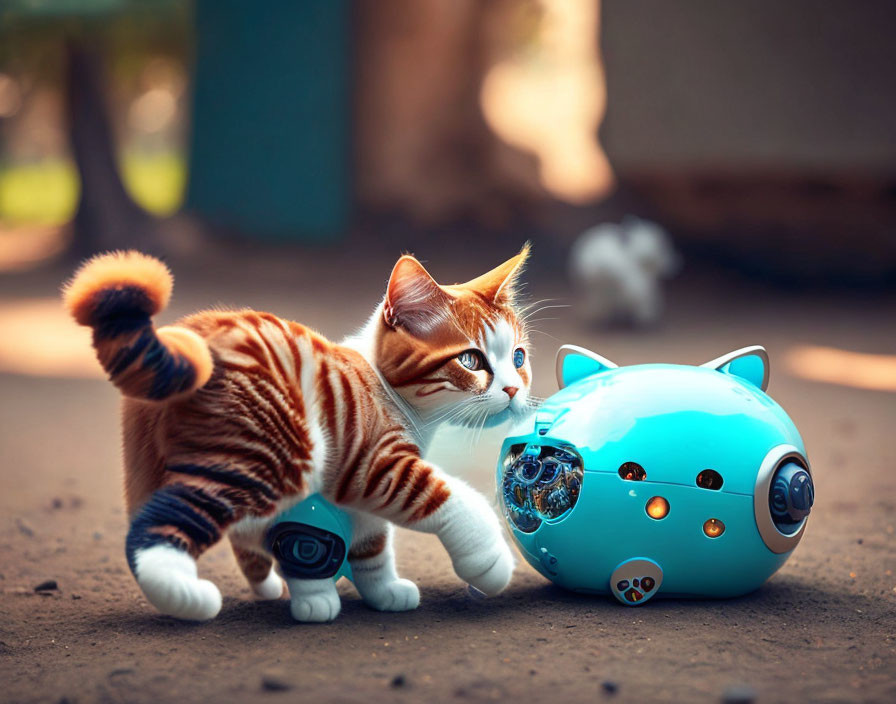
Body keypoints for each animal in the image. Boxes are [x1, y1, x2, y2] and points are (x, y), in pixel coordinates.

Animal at [65, 248, 532, 620]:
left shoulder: (356, 497)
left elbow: (371, 542)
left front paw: (382, 591)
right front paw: (488, 559)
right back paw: (183, 593)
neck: (384, 386)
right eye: (471, 360)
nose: (513, 389)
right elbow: (451, 498)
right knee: (163, 521)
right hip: (267, 455)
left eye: (518, 357)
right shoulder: (370, 463)